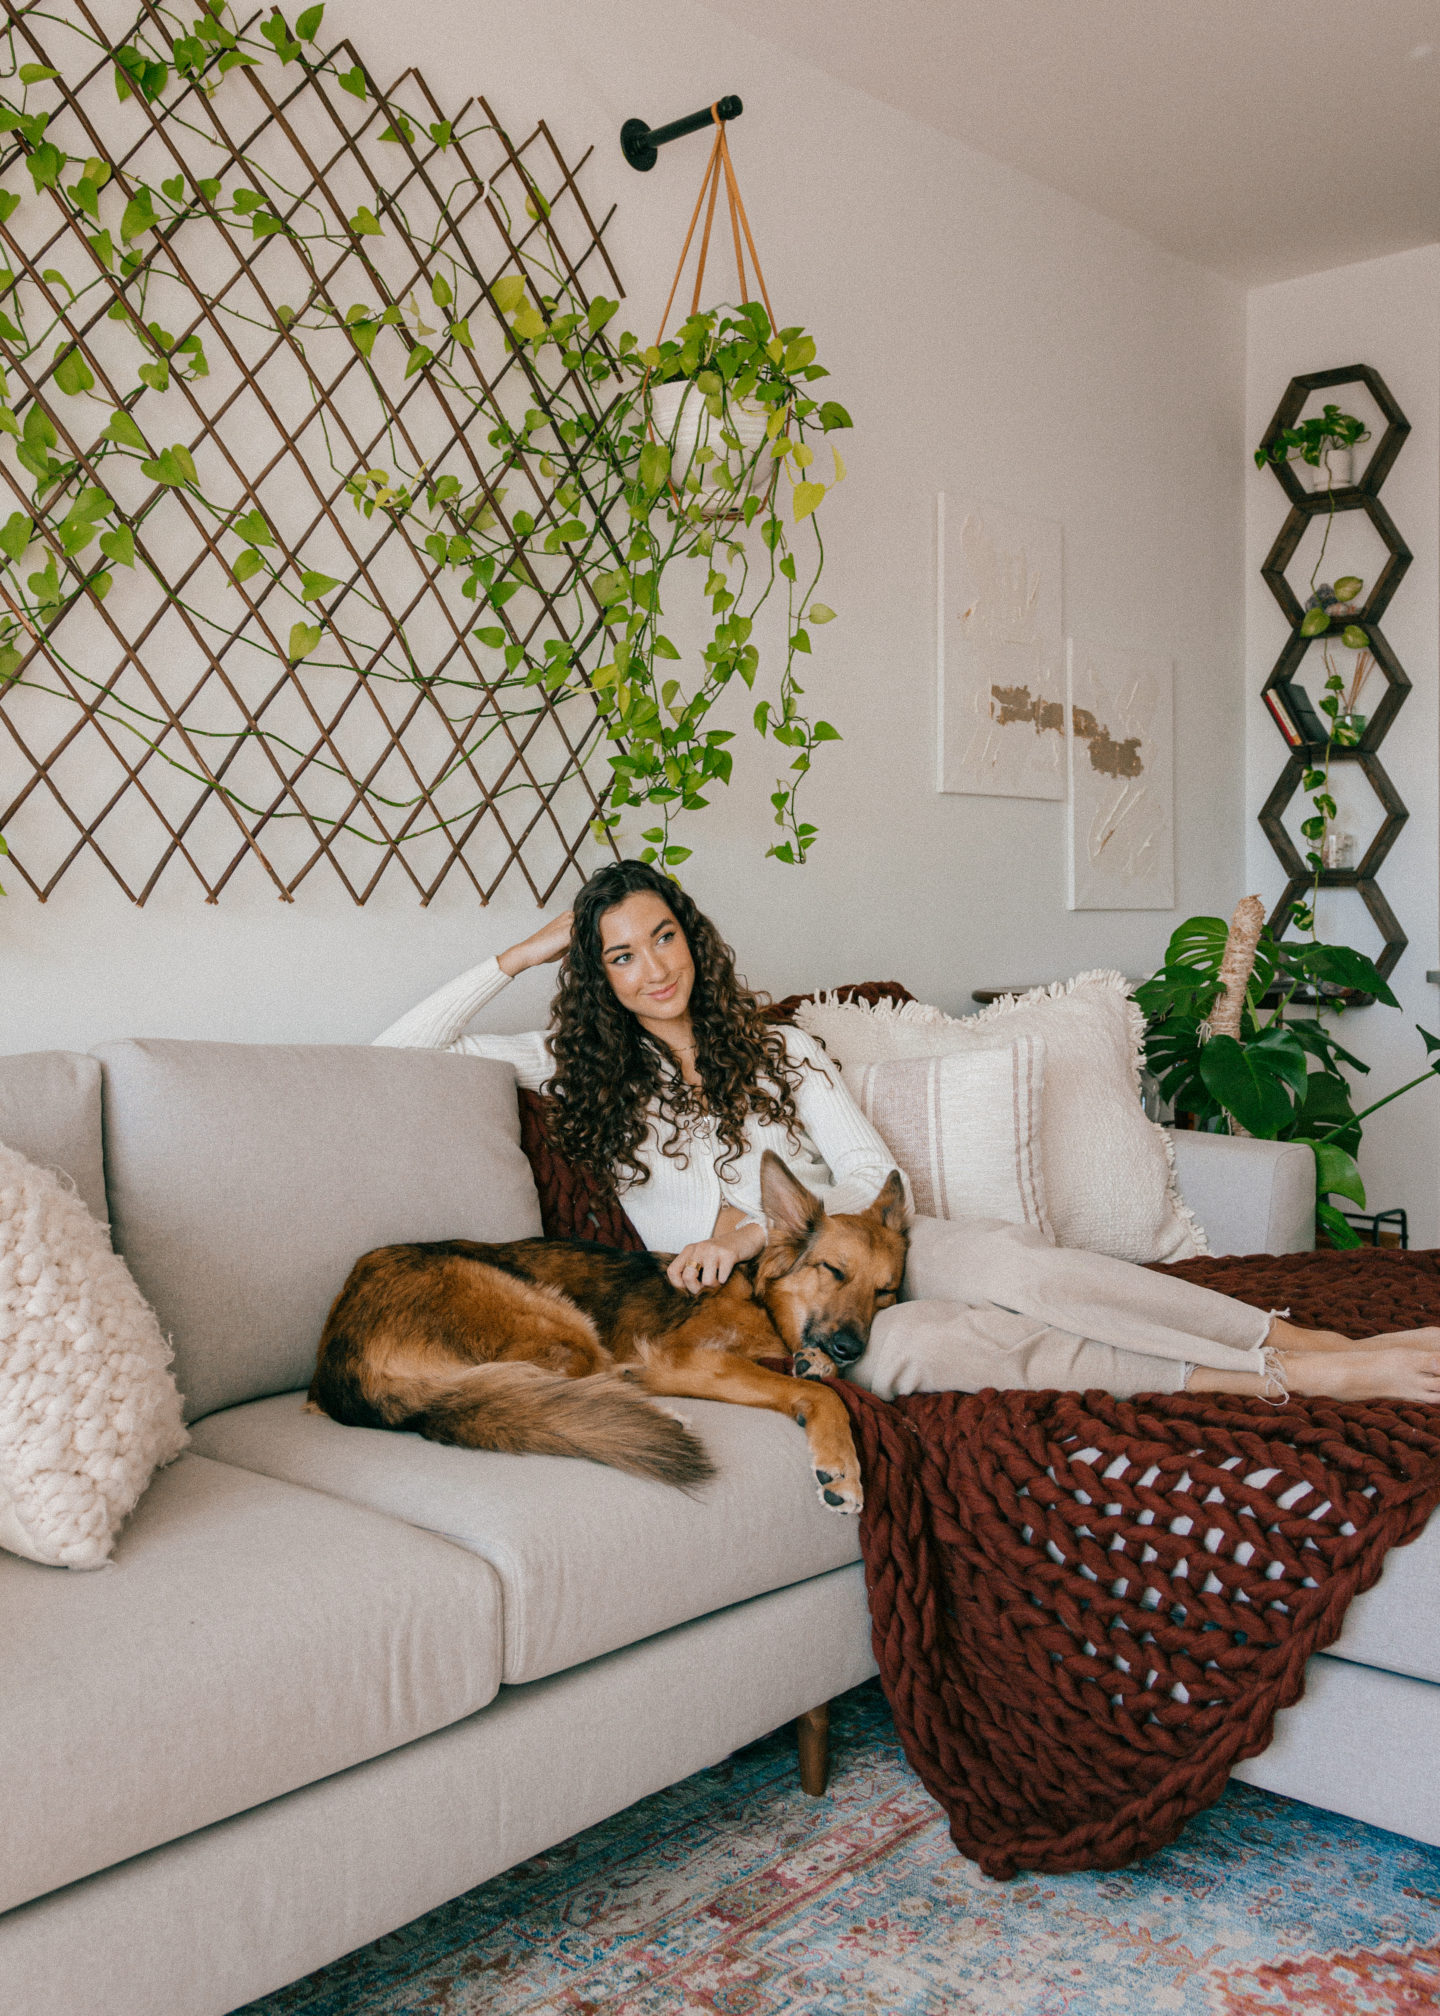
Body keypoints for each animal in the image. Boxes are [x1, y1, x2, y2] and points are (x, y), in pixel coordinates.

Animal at [306, 1153, 903, 1516]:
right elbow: (823, 1397)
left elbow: (808, 1374)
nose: (852, 1349)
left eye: (886, 1292)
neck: (760, 1299)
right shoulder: (682, 1358)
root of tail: (338, 1368)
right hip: (561, 1324)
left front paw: (815, 1362)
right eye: (834, 1271)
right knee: (575, 1384)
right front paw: (841, 1469)